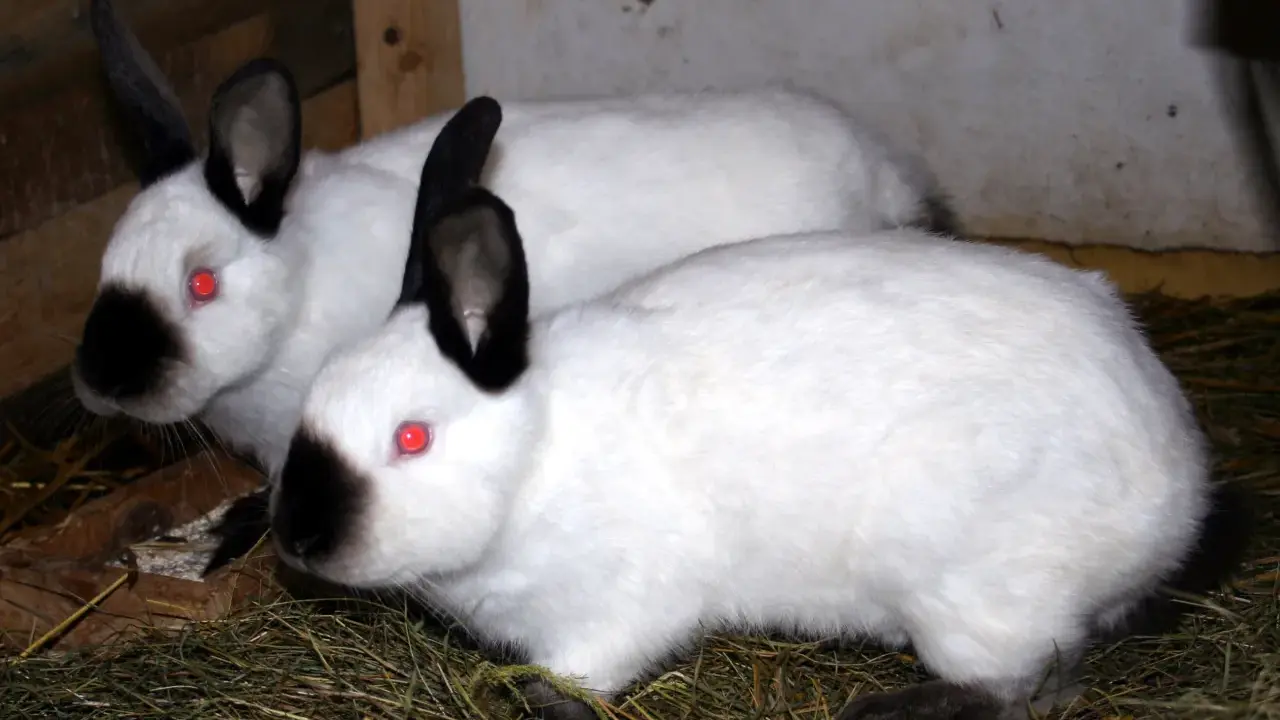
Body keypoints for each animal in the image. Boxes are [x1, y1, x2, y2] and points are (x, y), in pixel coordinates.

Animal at [266, 98, 1217, 720]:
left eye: (411, 437)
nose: (298, 538)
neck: (535, 454)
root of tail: (1179, 486)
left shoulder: (620, 608)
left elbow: (580, 672)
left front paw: (539, 701)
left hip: (979, 595)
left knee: (1021, 684)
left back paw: (886, 708)